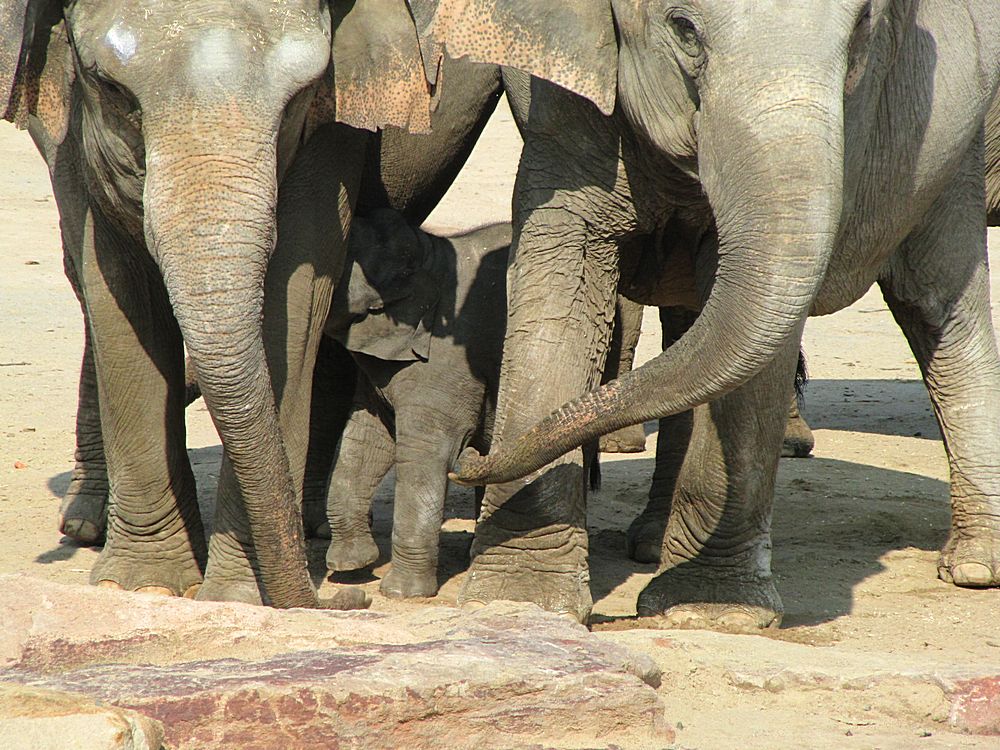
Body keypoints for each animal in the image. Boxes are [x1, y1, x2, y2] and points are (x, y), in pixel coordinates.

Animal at [0, 0, 514, 609]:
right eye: (110, 88)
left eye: (300, 95)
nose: (352, 601)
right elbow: (115, 280)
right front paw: (143, 584)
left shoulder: (333, 120)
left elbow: (295, 286)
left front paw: (237, 595)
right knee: (78, 276)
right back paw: (85, 525)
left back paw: (314, 529)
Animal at [428, 0, 1000, 626]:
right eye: (683, 28)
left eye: (860, 32)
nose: (470, 458)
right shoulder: (557, 102)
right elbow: (561, 267)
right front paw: (515, 599)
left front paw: (709, 610)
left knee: (940, 304)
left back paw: (976, 568)